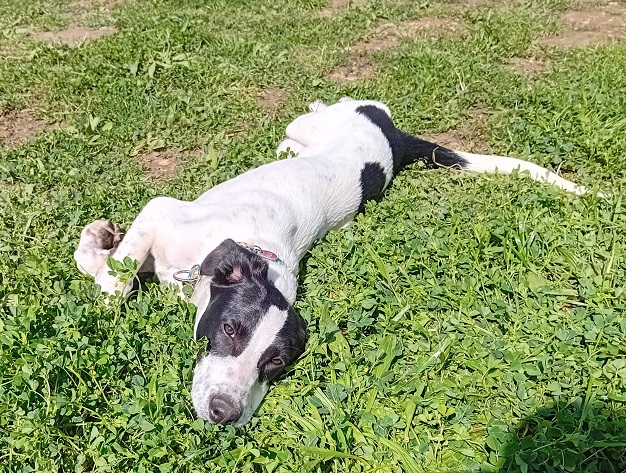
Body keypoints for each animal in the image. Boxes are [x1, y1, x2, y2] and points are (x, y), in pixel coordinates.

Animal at [74, 97, 593, 426]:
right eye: (230, 330)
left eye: (276, 364)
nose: (226, 414)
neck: (266, 254)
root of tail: (392, 135)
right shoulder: (160, 214)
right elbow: (112, 270)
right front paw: (101, 285)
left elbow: (108, 267)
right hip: (316, 124)